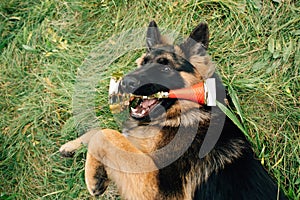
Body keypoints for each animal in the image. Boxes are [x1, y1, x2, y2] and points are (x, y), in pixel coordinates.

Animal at [59, 21, 288, 199]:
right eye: (142, 63)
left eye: (165, 68)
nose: (123, 82)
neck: (183, 114)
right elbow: (102, 133)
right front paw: (73, 146)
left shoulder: (156, 188)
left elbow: (107, 134)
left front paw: (93, 176)